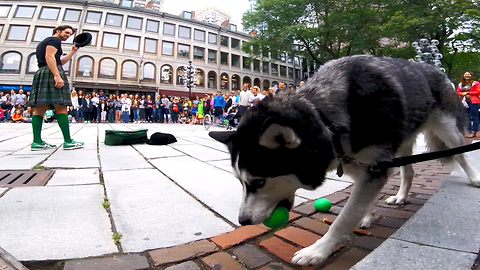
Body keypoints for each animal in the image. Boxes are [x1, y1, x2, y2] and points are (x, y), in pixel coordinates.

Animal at [209, 54, 480, 266]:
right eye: (241, 182)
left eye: (259, 182)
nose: (243, 221)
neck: (326, 118)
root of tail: (436, 69)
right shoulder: (370, 166)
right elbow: (362, 203)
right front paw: (367, 215)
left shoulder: (374, 168)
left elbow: (343, 219)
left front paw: (318, 251)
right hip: (403, 140)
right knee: (409, 171)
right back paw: (401, 196)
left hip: (446, 129)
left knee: (461, 154)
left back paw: (474, 178)